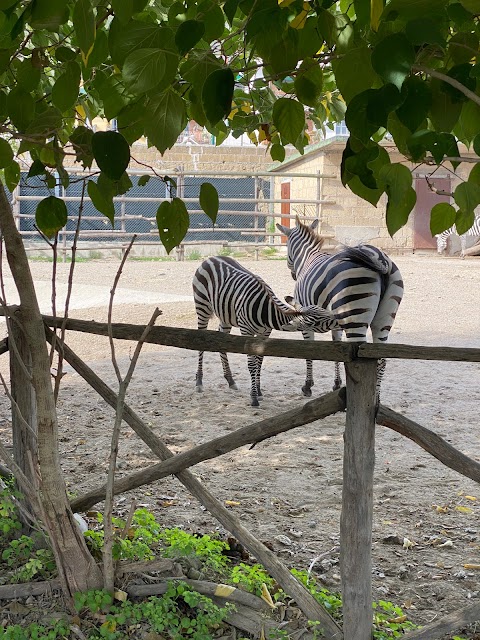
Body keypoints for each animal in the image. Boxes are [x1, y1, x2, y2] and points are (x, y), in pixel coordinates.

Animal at [193, 255, 340, 404]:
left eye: (323, 310)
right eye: (317, 322)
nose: (339, 319)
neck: (266, 311)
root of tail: (212, 258)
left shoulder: (265, 333)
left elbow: (259, 361)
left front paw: (258, 391)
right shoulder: (246, 331)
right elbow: (252, 364)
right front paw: (253, 397)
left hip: (225, 315)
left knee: (222, 340)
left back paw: (230, 380)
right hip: (202, 307)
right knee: (200, 341)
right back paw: (199, 382)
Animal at [274, 218, 404, 402]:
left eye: (286, 246)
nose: (293, 274)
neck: (308, 258)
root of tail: (380, 259)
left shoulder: (305, 320)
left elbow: (308, 351)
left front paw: (308, 386)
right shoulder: (336, 323)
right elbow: (337, 350)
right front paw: (336, 384)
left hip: (354, 317)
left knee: (361, 362)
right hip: (384, 320)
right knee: (381, 359)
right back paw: (376, 400)